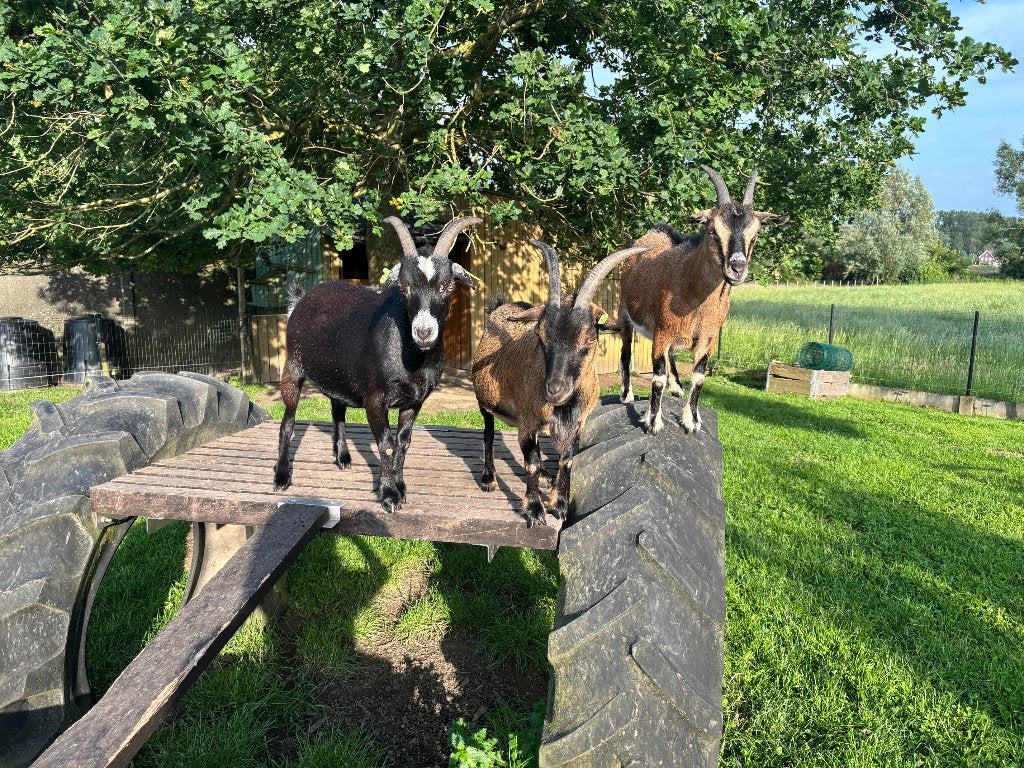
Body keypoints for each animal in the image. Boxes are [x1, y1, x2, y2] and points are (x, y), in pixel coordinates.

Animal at [273, 215, 482, 513]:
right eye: (404, 287)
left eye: (448, 286)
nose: (423, 332)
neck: (412, 360)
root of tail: (301, 298)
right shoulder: (375, 399)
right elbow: (387, 444)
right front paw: (389, 494)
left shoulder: (414, 401)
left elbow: (403, 443)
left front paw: (400, 486)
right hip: (292, 366)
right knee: (288, 423)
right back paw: (281, 476)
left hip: (338, 375)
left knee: (337, 410)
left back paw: (342, 456)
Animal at [472, 240, 648, 526]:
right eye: (540, 336)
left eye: (590, 340)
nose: (554, 390)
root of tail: (501, 308)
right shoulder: (526, 421)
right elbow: (530, 461)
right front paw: (534, 510)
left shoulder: (576, 424)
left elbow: (566, 460)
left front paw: (559, 505)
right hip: (484, 401)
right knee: (488, 433)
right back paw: (489, 479)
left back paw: (545, 475)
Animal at [619, 165, 789, 434]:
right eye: (713, 231)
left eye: (755, 234)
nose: (737, 268)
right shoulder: (662, 333)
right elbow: (657, 377)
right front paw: (653, 422)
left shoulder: (708, 339)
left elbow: (698, 377)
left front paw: (692, 420)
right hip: (624, 313)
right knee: (626, 352)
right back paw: (627, 394)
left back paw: (677, 387)